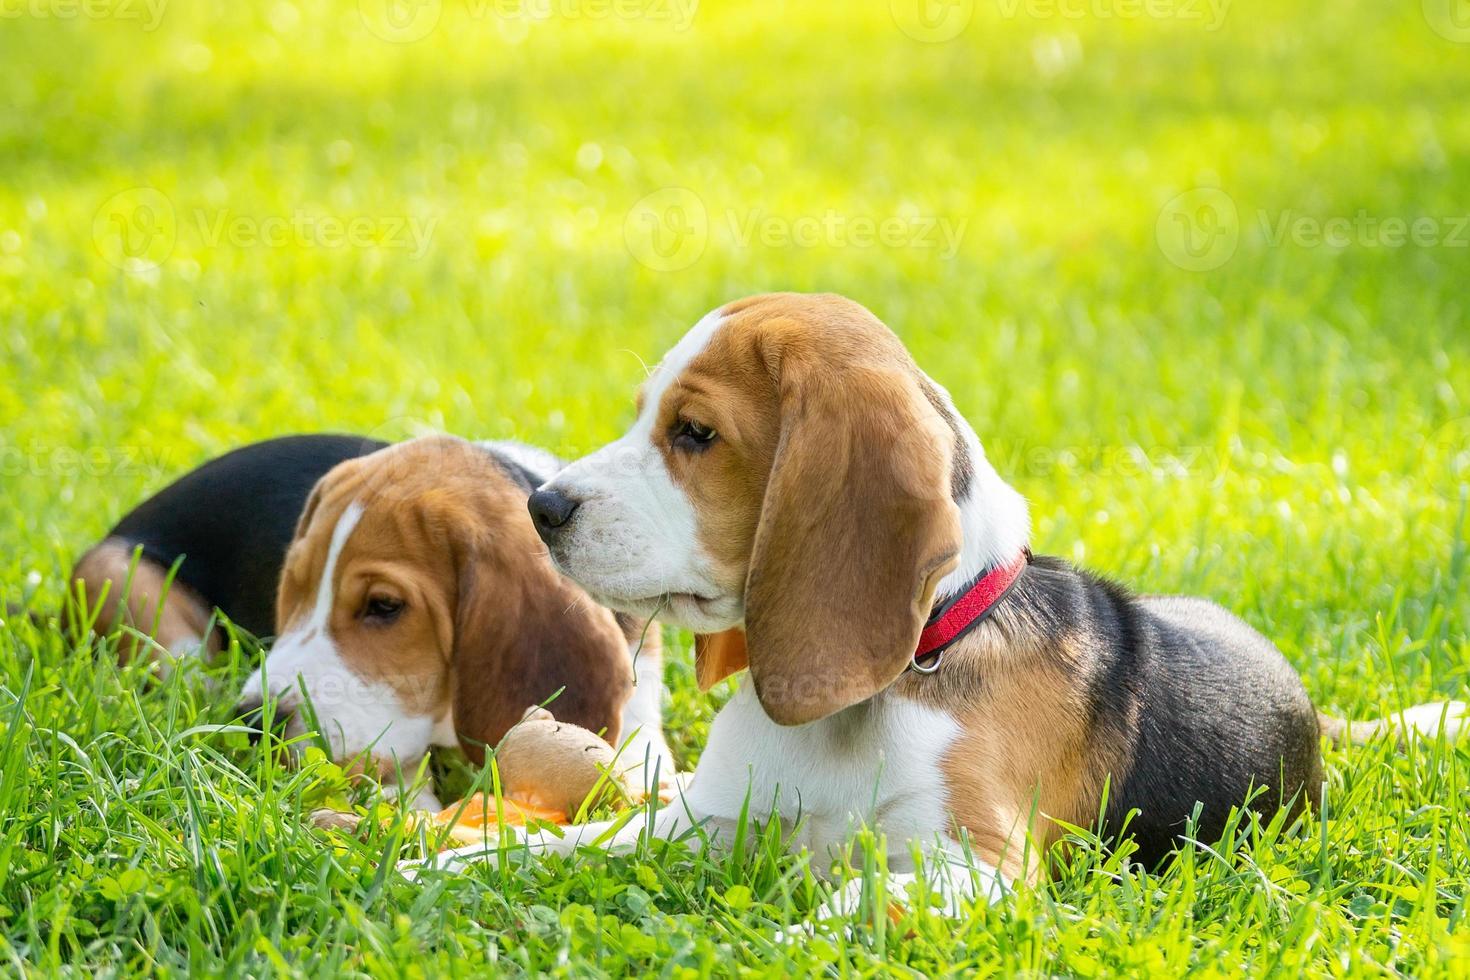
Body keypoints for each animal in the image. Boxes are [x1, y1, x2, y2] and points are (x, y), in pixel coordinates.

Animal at [423, 295, 1458, 910]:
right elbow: (579, 837)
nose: (542, 508)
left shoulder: (980, 864)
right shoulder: (705, 822)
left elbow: (863, 894)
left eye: (694, 433)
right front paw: (433, 862)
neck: (881, 688)